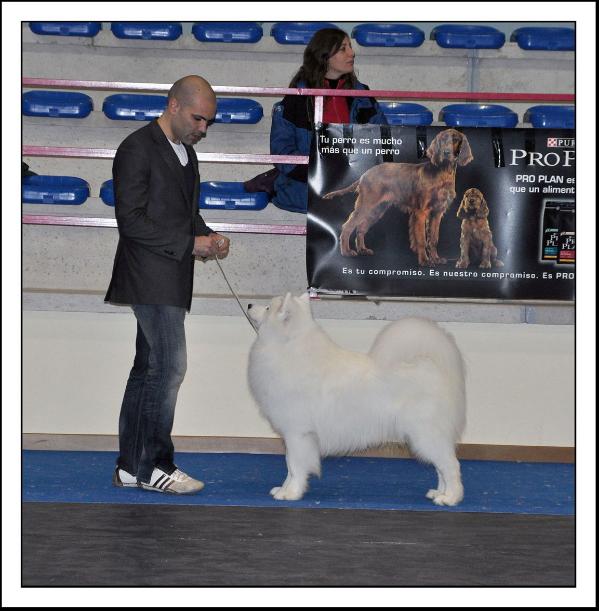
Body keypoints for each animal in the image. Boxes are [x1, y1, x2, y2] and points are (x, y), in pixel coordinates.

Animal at [246, 292, 466, 506]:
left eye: (268, 307)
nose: (248, 305)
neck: (289, 348)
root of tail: (432, 367)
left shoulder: (297, 433)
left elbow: (293, 465)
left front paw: (291, 493)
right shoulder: (296, 435)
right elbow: (290, 466)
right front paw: (283, 489)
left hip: (425, 435)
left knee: (451, 465)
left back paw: (450, 498)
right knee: (441, 467)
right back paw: (439, 492)